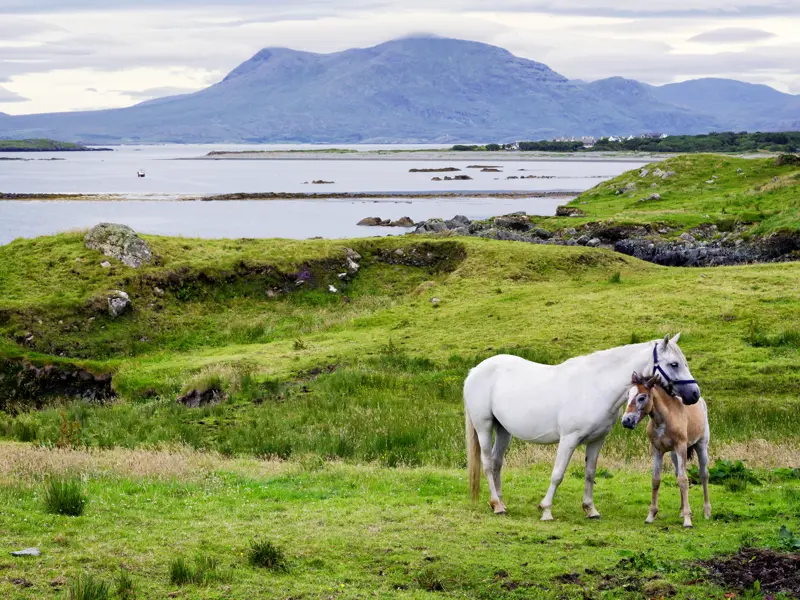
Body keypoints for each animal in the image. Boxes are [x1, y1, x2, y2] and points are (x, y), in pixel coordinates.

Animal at [466, 332, 696, 520]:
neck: (598, 386)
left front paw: (590, 509)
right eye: (674, 364)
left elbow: (590, 473)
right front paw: (546, 509)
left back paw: (500, 503)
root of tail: (475, 370)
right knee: (488, 463)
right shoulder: (569, 438)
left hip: (503, 430)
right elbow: (558, 474)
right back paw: (496, 505)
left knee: (497, 462)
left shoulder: (597, 440)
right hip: (484, 426)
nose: (694, 394)